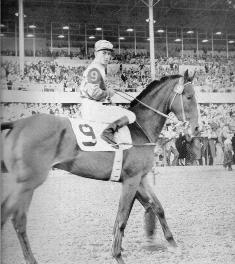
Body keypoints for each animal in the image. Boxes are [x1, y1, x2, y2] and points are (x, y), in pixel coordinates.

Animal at [0, 70, 199, 264]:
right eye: (189, 97)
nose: (197, 129)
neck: (140, 128)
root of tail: (18, 123)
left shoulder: (140, 178)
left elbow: (157, 207)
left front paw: (172, 243)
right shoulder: (132, 179)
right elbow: (122, 217)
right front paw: (117, 255)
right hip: (28, 182)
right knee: (15, 218)